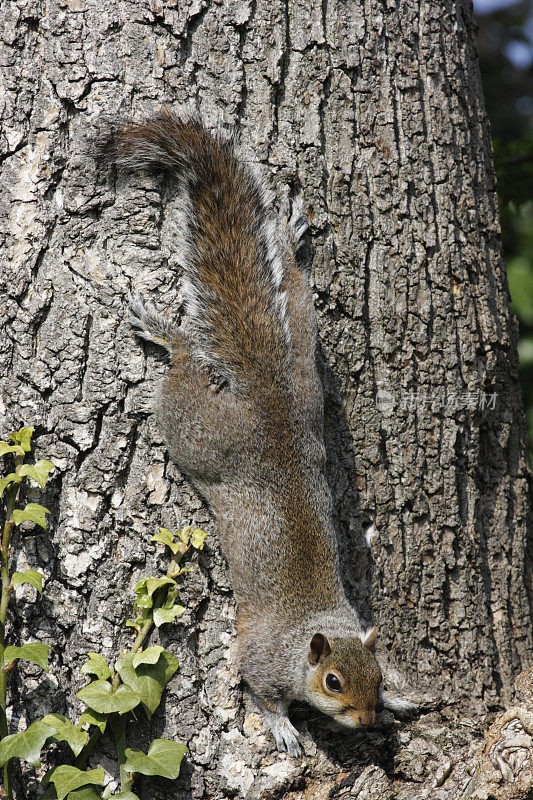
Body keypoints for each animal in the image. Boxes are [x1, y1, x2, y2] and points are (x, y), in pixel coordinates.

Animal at [101, 111, 416, 756]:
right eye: (333, 680)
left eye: (377, 675)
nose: (366, 718)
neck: (309, 636)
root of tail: (266, 394)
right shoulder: (260, 659)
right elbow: (261, 693)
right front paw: (284, 727)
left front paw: (399, 701)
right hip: (198, 430)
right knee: (184, 371)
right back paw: (166, 334)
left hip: (304, 371)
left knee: (292, 292)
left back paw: (290, 242)